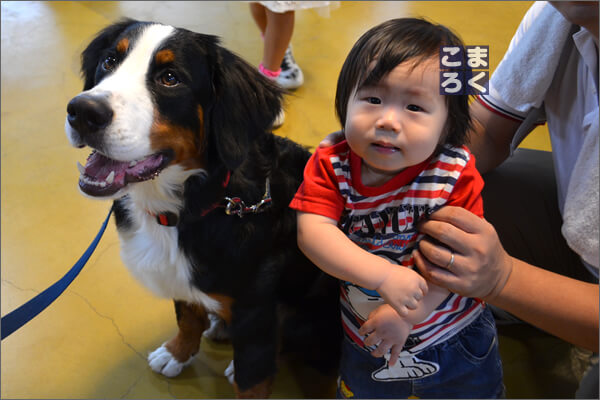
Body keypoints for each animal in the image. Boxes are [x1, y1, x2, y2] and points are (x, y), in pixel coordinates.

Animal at [64, 20, 342, 398]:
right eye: (110, 61)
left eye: (170, 78)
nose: (82, 112)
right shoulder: (180, 275)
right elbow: (188, 315)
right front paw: (177, 353)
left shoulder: (257, 313)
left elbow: (253, 378)